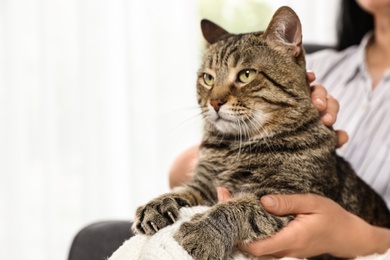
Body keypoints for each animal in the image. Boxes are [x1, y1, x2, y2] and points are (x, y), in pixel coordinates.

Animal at [133, 6, 390, 260]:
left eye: (246, 75)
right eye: (207, 78)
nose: (214, 102)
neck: (235, 146)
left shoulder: (285, 196)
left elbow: (236, 208)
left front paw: (203, 233)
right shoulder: (206, 183)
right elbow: (186, 190)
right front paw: (158, 204)